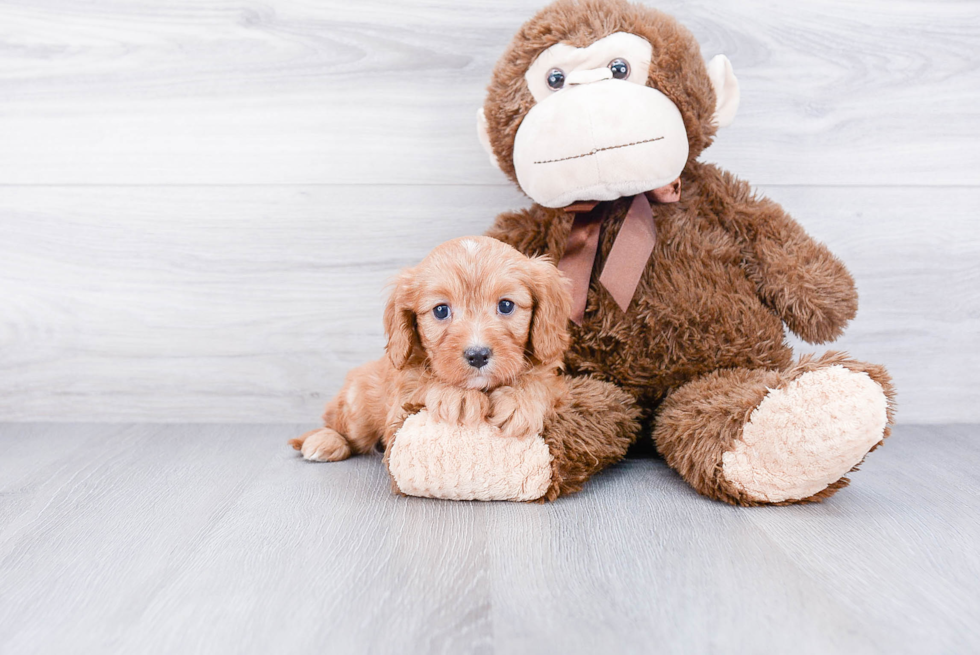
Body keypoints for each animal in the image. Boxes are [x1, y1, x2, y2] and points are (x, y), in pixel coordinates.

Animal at [288, 236, 572, 462]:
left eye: (505, 305)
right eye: (441, 310)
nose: (477, 355)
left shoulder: (558, 384)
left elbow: (541, 381)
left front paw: (518, 400)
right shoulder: (400, 399)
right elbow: (422, 381)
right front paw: (457, 395)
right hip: (357, 408)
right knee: (337, 424)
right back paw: (323, 441)